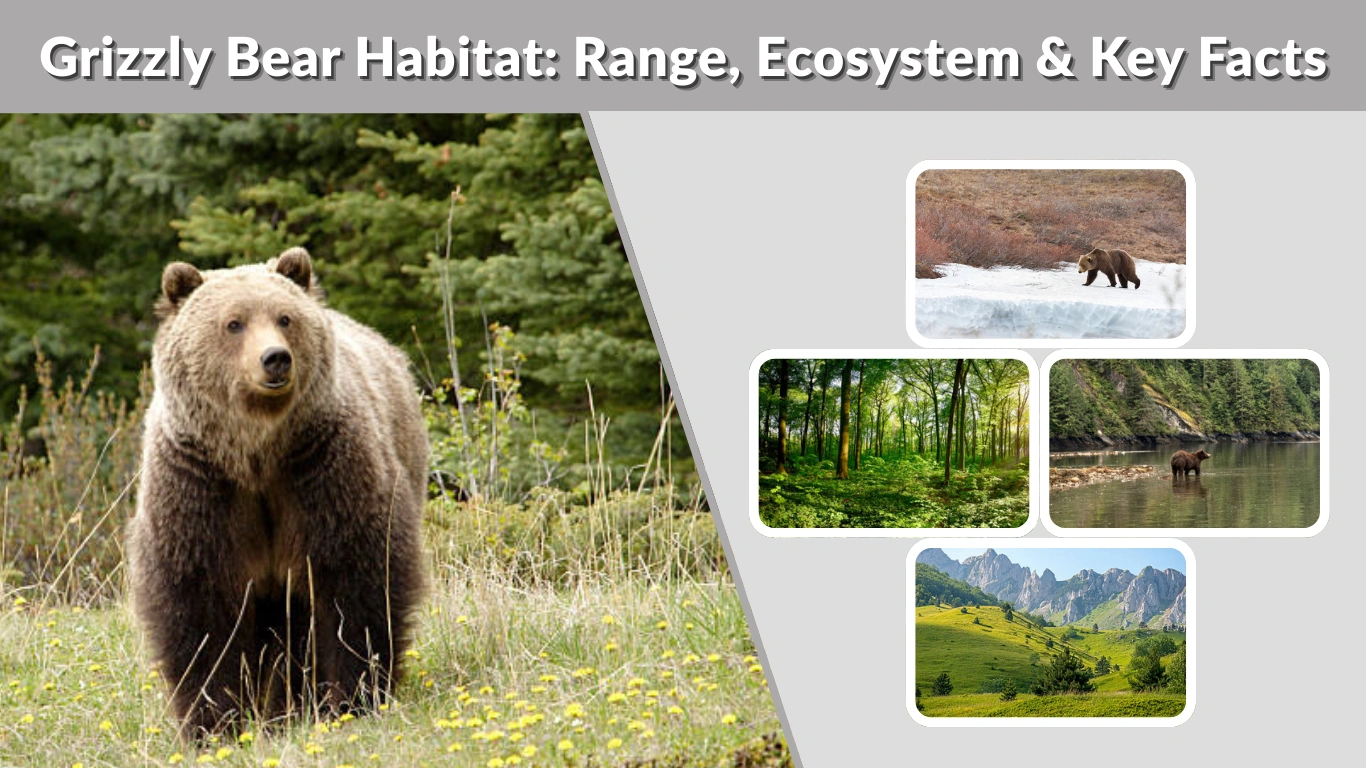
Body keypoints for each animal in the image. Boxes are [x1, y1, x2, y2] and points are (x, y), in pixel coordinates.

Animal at [126, 247, 428, 738]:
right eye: (233, 323)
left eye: (285, 318)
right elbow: (201, 607)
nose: (275, 359)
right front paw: (213, 721)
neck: (258, 454)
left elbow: (355, 584)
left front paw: (353, 698)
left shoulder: (321, 470)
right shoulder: (201, 485)